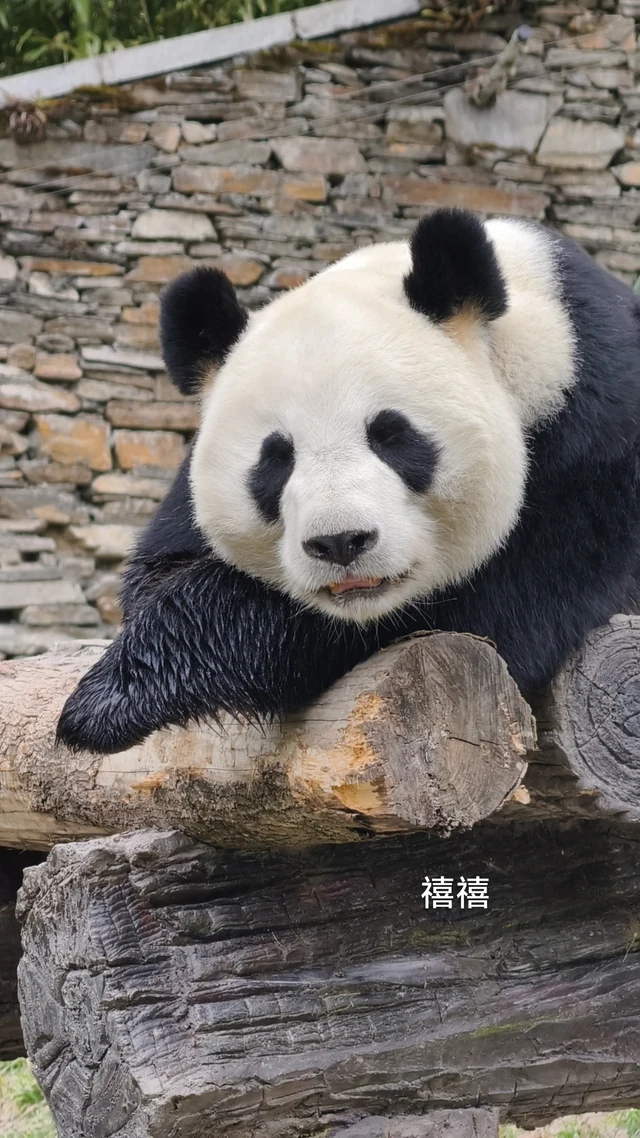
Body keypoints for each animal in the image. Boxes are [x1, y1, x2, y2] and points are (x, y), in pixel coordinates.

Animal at [57, 208, 640, 755]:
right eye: (275, 460)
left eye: (391, 435)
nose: (340, 542)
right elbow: (159, 568)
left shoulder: (595, 457)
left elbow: (482, 606)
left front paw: (109, 700)